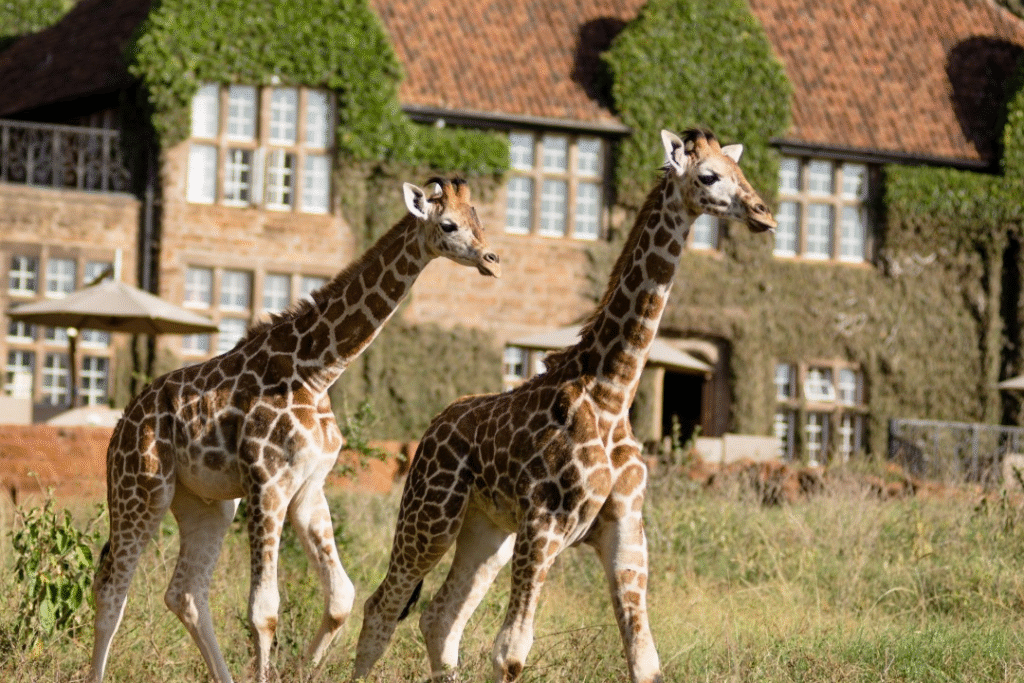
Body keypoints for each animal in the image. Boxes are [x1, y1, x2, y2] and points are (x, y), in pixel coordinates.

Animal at [88, 177, 500, 683]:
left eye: (480, 221)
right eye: (449, 225)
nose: (491, 259)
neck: (319, 371)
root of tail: (122, 423)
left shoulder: (308, 486)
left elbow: (341, 597)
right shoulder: (268, 482)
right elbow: (264, 609)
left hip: (206, 504)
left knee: (184, 592)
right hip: (142, 488)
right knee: (113, 587)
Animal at [351, 128, 775, 683]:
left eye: (739, 171)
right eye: (708, 176)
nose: (764, 213)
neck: (614, 392)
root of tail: (430, 430)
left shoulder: (625, 532)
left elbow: (645, 659)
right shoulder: (544, 524)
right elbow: (510, 651)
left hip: (486, 532)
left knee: (439, 618)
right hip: (431, 515)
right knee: (382, 605)